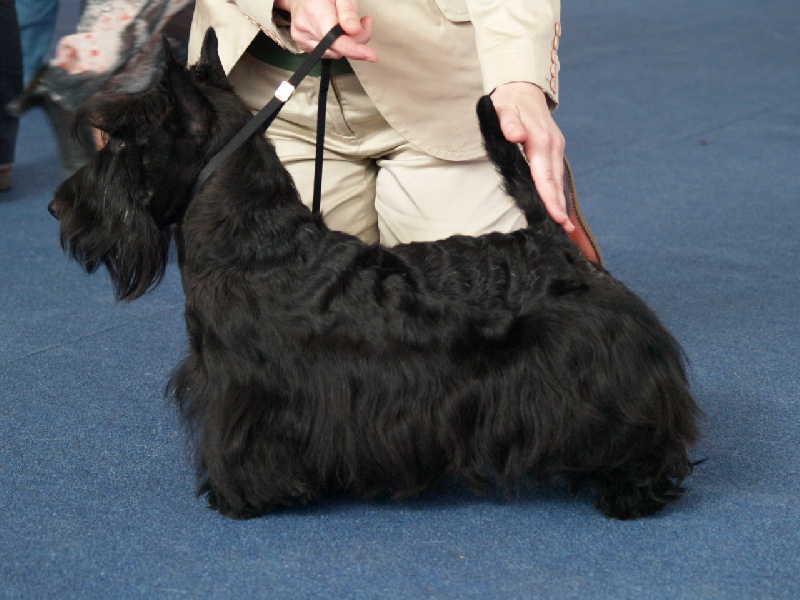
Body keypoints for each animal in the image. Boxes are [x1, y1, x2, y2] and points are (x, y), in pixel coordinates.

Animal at [49, 29, 700, 520]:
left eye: (122, 141)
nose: (59, 207)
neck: (253, 245)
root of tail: (551, 242)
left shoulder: (243, 388)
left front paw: (239, 496)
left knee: (643, 430)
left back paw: (633, 487)